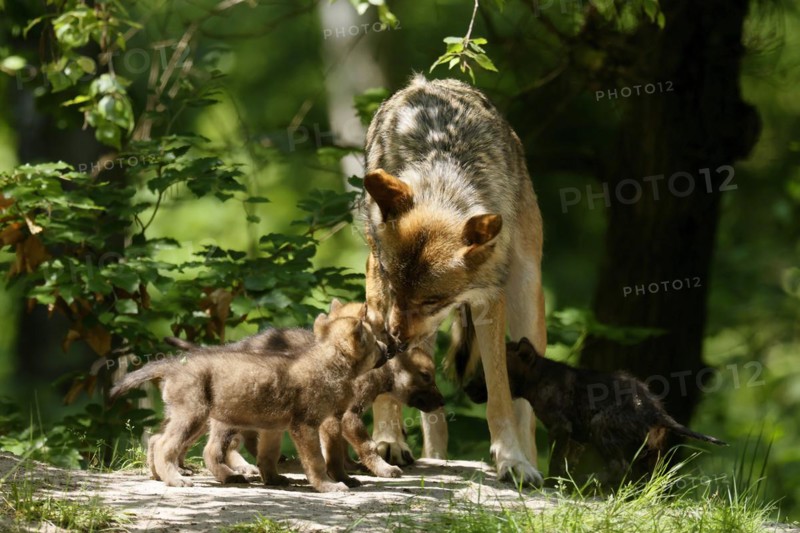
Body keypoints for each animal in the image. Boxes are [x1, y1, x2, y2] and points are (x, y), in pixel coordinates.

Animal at [110, 301, 388, 492]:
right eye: (375, 342)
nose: (390, 347)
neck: (330, 366)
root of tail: (173, 364)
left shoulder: (274, 428)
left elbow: (268, 456)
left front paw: (273, 480)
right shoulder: (307, 425)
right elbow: (318, 461)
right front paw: (329, 486)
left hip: (191, 418)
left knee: (158, 440)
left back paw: (162, 476)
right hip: (196, 417)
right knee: (171, 447)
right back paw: (177, 479)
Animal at [361, 75, 546, 485]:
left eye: (431, 301)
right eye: (394, 289)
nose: (395, 339)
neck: (442, 181)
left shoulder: (489, 302)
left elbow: (499, 396)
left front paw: (511, 460)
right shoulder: (378, 283)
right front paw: (386, 441)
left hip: (526, 295)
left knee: (528, 406)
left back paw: (531, 464)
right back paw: (431, 456)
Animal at [463, 337, 727, 485]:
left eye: (488, 374)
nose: (466, 388)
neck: (538, 378)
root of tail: (656, 411)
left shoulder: (561, 427)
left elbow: (557, 458)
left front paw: (553, 481)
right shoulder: (575, 438)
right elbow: (567, 460)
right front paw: (562, 480)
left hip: (601, 425)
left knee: (619, 466)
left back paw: (588, 482)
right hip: (649, 451)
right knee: (646, 477)